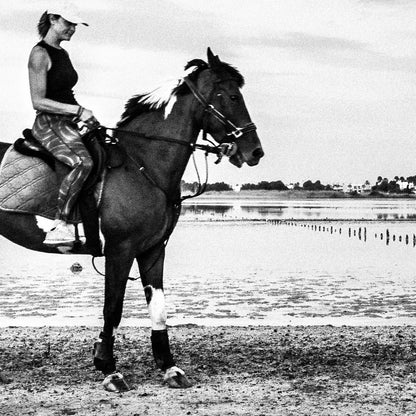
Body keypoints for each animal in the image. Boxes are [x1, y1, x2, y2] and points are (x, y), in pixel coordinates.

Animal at [0, 48, 264, 390]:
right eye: (232, 96)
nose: (255, 151)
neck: (142, 165)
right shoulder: (120, 250)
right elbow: (112, 309)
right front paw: (109, 369)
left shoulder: (153, 250)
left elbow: (159, 308)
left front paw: (169, 367)